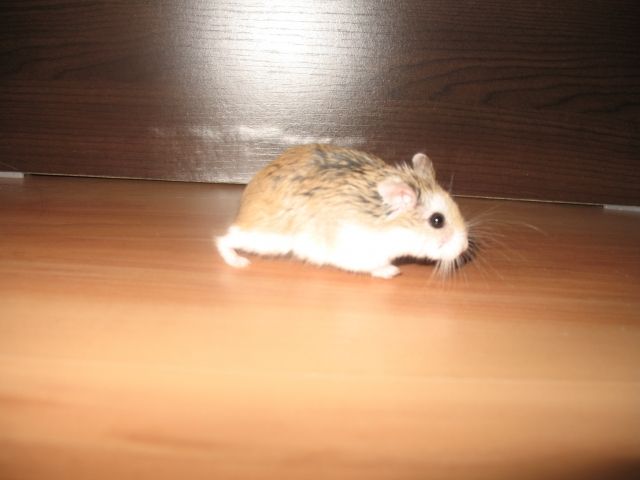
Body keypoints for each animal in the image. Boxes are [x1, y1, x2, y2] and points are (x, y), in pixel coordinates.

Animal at [216, 144, 468, 278]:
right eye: (437, 220)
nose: (465, 248)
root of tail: (244, 208)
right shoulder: (360, 253)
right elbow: (376, 266)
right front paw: (393, 271)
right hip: (267, 239)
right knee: (222, 239)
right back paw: (238, 262)